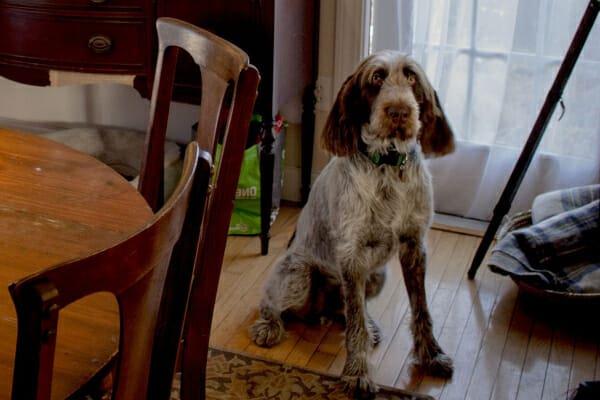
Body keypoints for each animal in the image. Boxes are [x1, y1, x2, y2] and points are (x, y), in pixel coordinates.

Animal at [250, 50, 454, 396]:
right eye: (376, 78)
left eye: (411, 77)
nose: (399, 111)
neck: (389, 167)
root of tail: (318, 312)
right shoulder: (353, 255)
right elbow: (356, 322)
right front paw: (357, 373)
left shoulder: (414, 246)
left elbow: (420, 310)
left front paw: (431, 355)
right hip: (299, 275)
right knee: (271, 301)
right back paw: (269, 326)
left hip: (377, 276)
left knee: (346, 309)